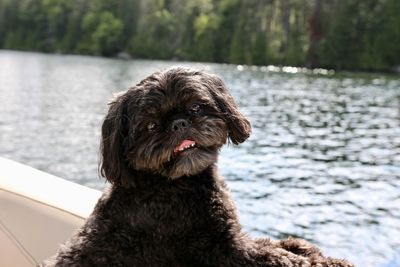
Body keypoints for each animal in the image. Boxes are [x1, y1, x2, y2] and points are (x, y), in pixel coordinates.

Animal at [42, 68, 352, 266]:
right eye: (150, 126)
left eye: (195, 107)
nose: (179, 124)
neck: (173, 185)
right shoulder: (220, 250)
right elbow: (278, 258)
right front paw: (322, 261)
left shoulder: (230, 234)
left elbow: (272, 244)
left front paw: (304, 247)